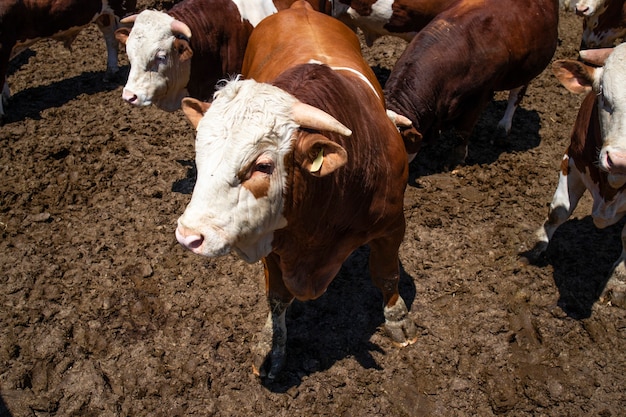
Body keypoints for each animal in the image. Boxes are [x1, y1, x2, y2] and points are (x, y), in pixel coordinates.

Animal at [173, 0, 414, 376]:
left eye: (263, 166)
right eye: (201, 154)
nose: (189, 236)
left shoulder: (392, 225)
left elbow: (386, 274)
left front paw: (397, 319)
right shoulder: (270, 240)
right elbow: (277, 297)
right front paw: (272, 344)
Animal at [382, 0, 560, 166]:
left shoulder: (480, 96)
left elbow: (464, 130)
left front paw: (457, 158)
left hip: (526, 70)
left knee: (516, 96)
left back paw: (503, 130)